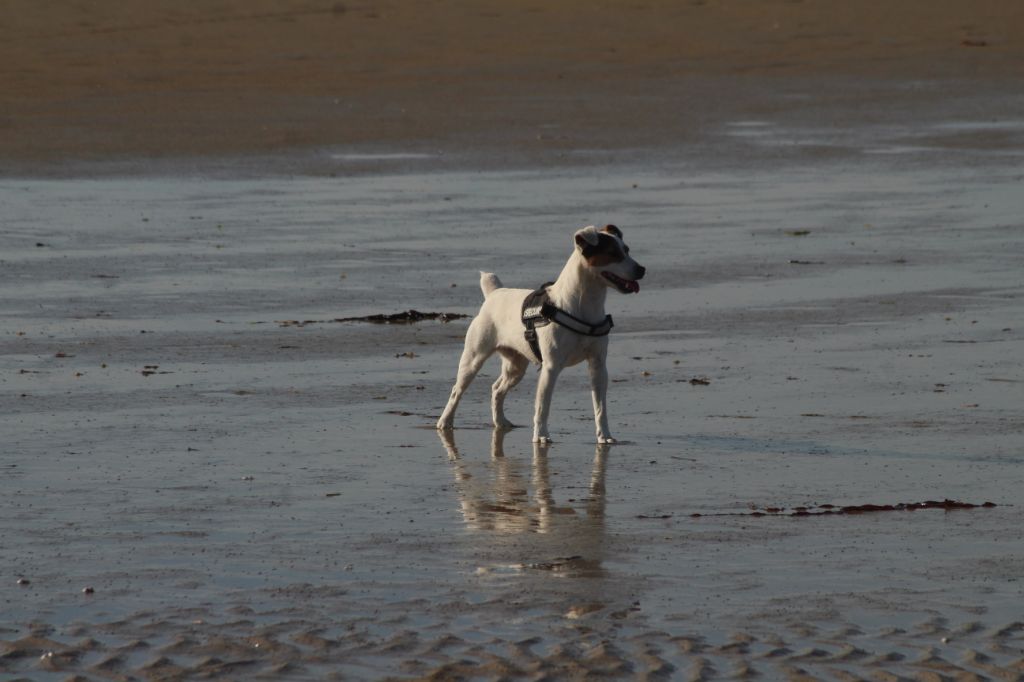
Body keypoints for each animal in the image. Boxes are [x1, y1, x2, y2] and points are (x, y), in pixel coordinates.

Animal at [434, 225, 643, 444]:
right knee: (456, 391)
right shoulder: (551, 368)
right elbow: (543, 406)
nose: (642, 270)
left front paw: (605, 436)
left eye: (627, 250)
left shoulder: (598, 365)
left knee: (496, 389)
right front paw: (541, 435)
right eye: (613, 253)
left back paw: (501, 422)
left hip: (515, 367)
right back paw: (444, 422)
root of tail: (494, 294)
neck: (582, 305)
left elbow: (600, 407)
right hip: (473, 359)